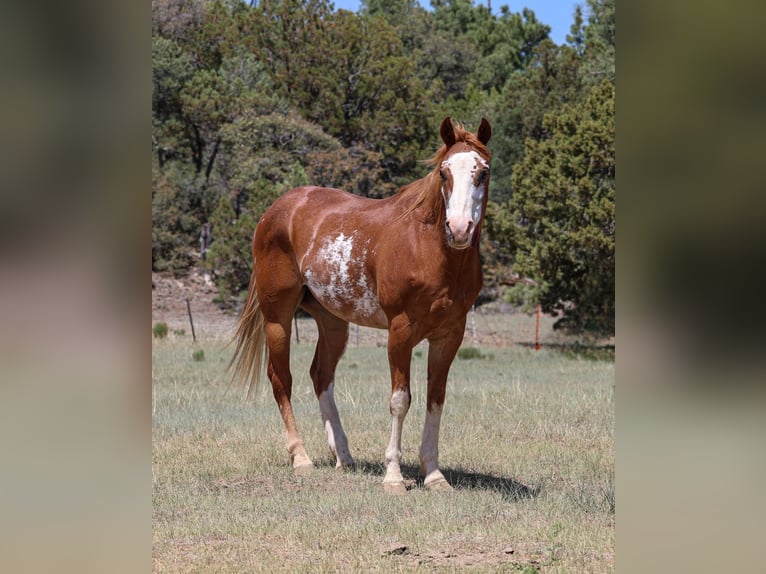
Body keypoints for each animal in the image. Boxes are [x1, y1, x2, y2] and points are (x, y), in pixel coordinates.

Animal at [229, 117, 492, 493]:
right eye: (444, 172)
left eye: (482, 172)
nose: (458, 229)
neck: (428, 249)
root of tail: (277, 210)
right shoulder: (400, 331)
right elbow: (400, 400)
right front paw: (394, 476)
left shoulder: (449, 335)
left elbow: (436, 399)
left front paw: (433, 474)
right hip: (277, 317)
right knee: (281, 379)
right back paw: (301, 458)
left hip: (333, 322)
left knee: (321, 375)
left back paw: (343, 455)